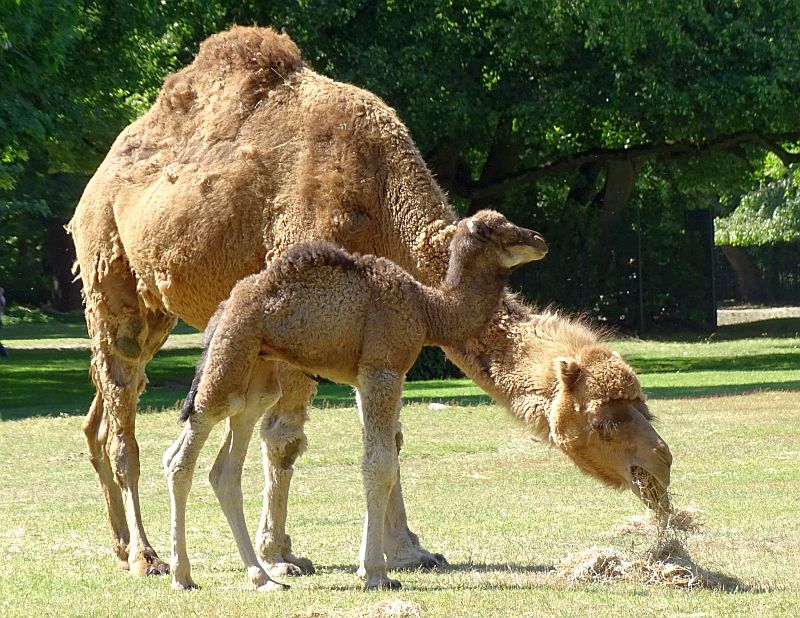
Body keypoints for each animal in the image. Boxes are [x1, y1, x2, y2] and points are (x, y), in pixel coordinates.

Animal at [162, 209, 552, 588]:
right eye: (500, 228)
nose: (539, 239)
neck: (428, 309)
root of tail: (223, 309)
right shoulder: (383, 369)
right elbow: (379, 465)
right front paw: (377, 573)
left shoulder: (367, 380)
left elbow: (379, 457)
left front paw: (370, 566)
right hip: (230, 356)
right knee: (185, 451)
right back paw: (184, 576)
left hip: (257, 370)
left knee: (227, 463)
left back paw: (262, 577)